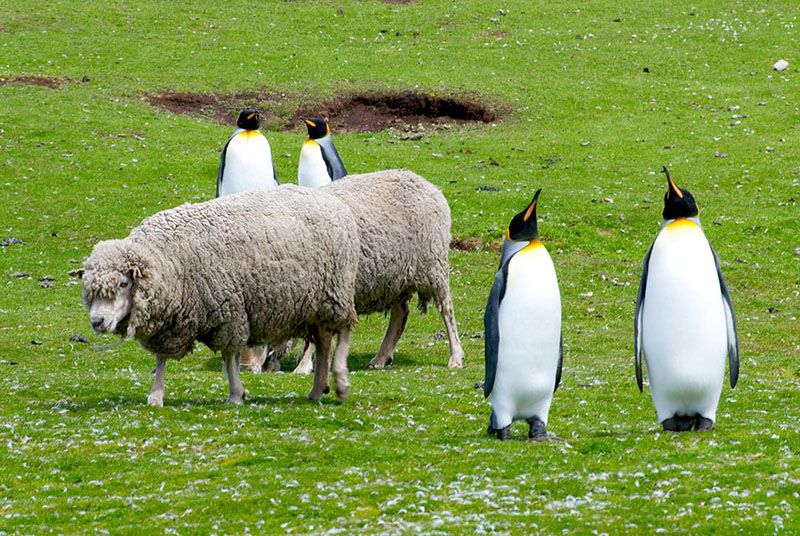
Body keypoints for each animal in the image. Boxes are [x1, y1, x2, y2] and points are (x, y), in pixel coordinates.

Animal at [79, 186, 360, 406]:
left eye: (124, 283)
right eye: (89, 291)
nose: (97, 322)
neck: (168, 260)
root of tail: (329, 199)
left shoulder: (229, 311)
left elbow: (228, 356)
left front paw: (236, 393)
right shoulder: (170, 323)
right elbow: (161, 359)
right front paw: (156, 395)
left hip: (336, 293)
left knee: (343, 333)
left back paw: (341, 382)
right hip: (317, 303)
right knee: (323, 341)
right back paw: (317, 389)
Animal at [309, 169, 464, 369]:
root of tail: (427, 184)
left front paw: (303, 366)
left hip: (432, 265)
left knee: (446, 309)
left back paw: (455, 356)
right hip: (396, 278)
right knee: (401, 313)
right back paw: (381, 357)